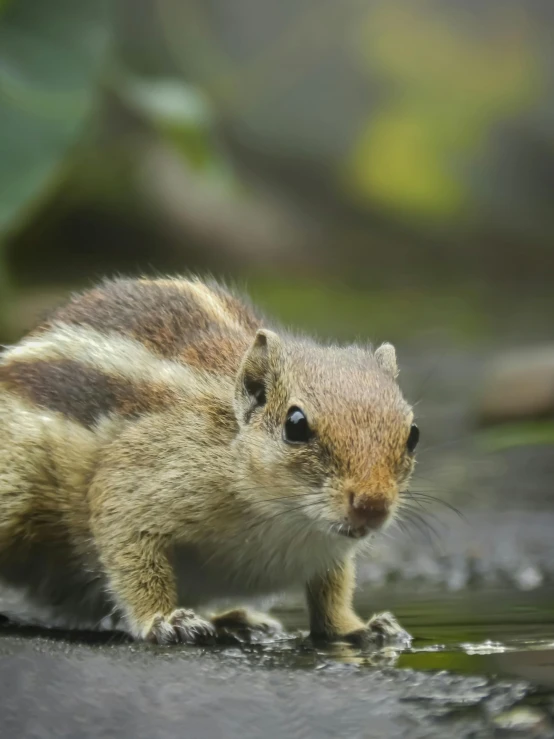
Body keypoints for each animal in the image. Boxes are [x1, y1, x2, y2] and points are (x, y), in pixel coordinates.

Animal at [0, 278, 416, 648]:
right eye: (296, 425)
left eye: (413, 434)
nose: (373, 505)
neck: (285, 515)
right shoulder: (136, 482)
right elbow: (133, 555)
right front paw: (163, 619)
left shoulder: (329, 551)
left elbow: (332, 593)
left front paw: (357, 627)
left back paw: (234, 619)